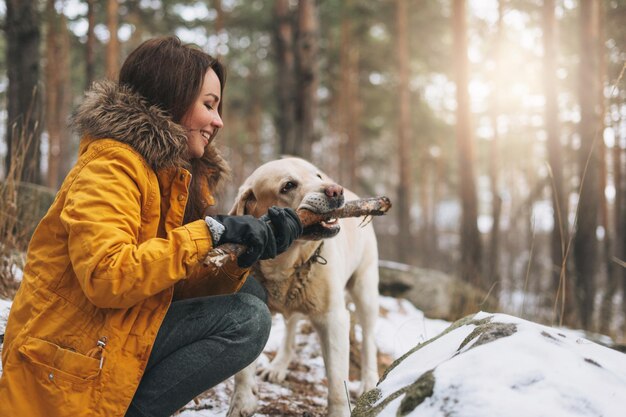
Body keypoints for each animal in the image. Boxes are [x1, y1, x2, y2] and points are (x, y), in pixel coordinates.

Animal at [227, 157, 378, 416]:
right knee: (291, 325)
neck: (285, 263)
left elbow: (337, 384)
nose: (335, 190)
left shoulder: (333, 318)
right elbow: (243, 369)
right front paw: (242, 402)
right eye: (288, 186)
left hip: (365, 287)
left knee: (368, 337)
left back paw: (369, 382)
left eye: (318, 176)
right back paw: (278, 366)